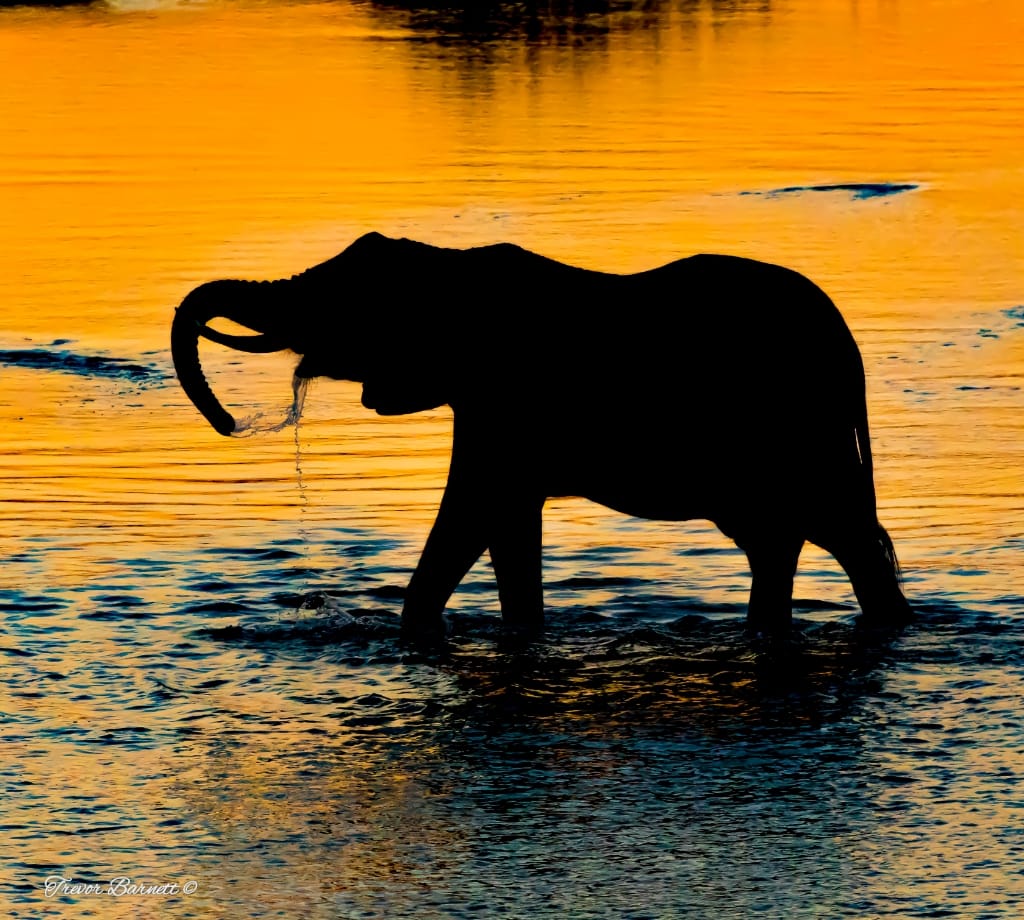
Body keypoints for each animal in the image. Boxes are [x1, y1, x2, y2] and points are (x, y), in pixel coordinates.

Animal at [172, 231, 912, 640]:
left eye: (346, 304)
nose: (228, 421)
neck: (449, 267)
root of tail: (847, 346)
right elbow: (505, 528)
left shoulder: (502, 399)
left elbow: (472, 513)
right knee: (778, 540)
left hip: (798, 425)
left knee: (841, 534)